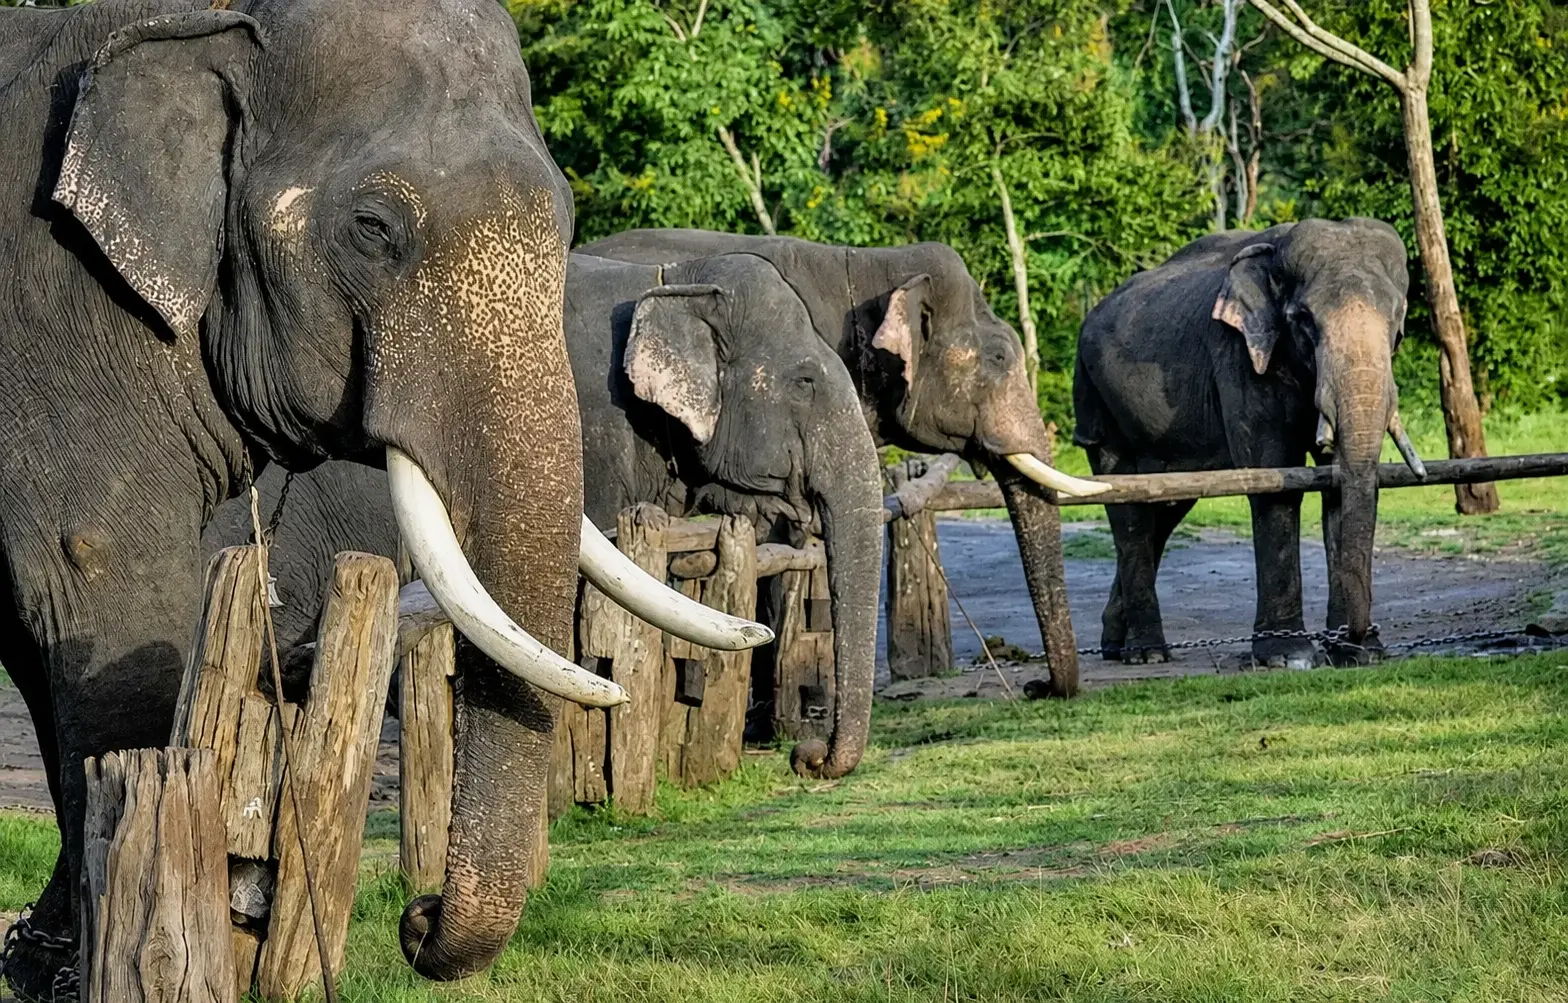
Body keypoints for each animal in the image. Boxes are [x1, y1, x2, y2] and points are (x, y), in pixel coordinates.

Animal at [0, 0, 761, 991]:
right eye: (373, 227)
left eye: (564, 228)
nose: (418, 914)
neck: (196, 22)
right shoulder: (57, 332)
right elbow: (105, 601)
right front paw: (70, 971)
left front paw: (40, 957)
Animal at [1072, 218, 1426, 668]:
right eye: (1304, 319)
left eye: (1398, 321)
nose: (1360, 637)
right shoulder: (1240, 354)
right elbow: (1273, 475)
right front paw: (1287, 657)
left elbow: (1337, 487)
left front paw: (1359, 656)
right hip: (1094, 395)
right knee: (1127, 504)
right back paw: (1147, 653)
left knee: (1165, 508)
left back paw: (1116, 645)